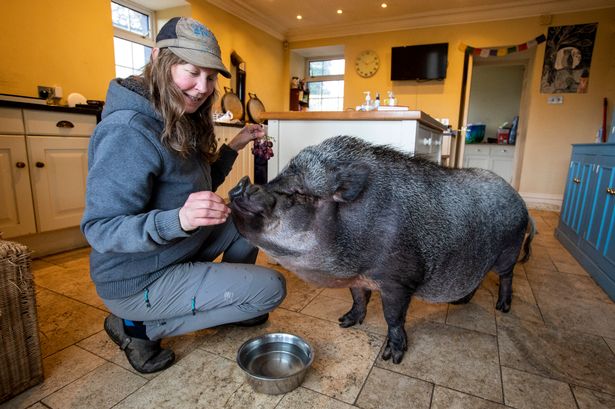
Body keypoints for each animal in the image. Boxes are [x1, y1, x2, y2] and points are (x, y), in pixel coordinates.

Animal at [230, 135, 536, 362]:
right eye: (276, 178)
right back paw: (459, 302)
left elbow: (393, 316)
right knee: (477, 278)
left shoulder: (398, 280)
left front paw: (393, 356)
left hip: (508, 251)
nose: (242, 184)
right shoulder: (357, 278)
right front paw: (344, 322)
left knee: (506, 277)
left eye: (300, 194)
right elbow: (358, 298)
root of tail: (520, 201)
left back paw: (503, 308)